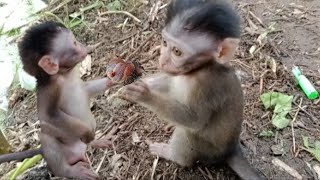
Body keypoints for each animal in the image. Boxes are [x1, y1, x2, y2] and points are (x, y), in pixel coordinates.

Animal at [0, 21, 115, 179]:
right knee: (47, 137)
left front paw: (114, 79)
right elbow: (49, 115)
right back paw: (70, 171)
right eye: (74, 43)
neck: (63, 75)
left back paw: (97, 142)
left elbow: (86, 89)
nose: (84, 46)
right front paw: (87, 133)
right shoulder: (51, 89)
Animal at [119, 0, 264, 180]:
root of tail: (231, 149)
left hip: (208, 151)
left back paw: (172, 155)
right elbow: (169, 82)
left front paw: (144, 95)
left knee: (188, 133)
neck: (197, 70)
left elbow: (194, 120)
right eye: (165, 43)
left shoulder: (208, 87)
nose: (163, 60)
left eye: (177, 52)